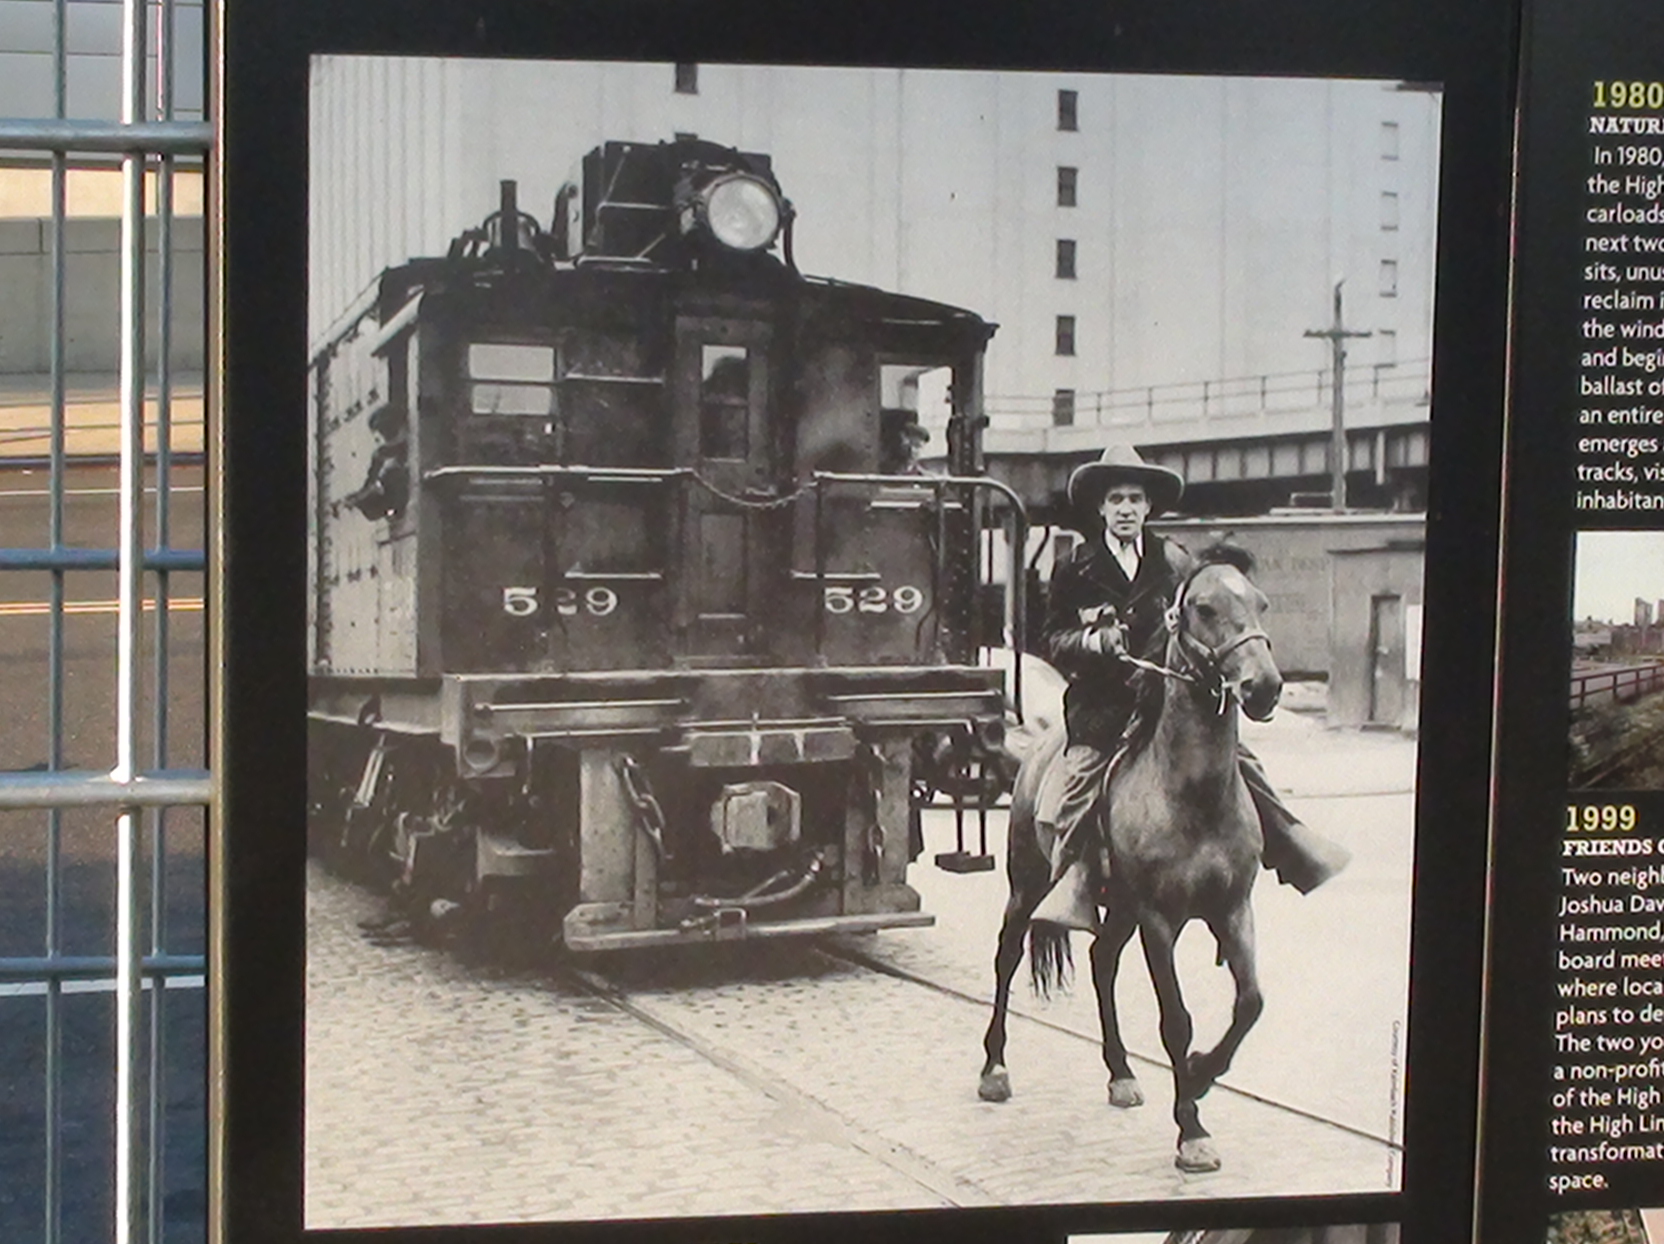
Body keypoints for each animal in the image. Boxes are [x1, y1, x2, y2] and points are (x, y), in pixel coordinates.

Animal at [976, 547, 1282, 1174]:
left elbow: (1250, 1002)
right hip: (1027, 886)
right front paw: (1191, 1126)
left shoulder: (1233, 909)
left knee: (1101, 962)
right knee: (1007, 958)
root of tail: (1038, 742)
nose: (1264, 686)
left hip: (1117, 910)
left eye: (1261, 603)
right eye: (1205, 608)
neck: (1193, 795)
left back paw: (1120, 1073)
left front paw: (1204, 1073)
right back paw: (994, 1068)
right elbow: (1177, 1020)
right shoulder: (1159, 919)